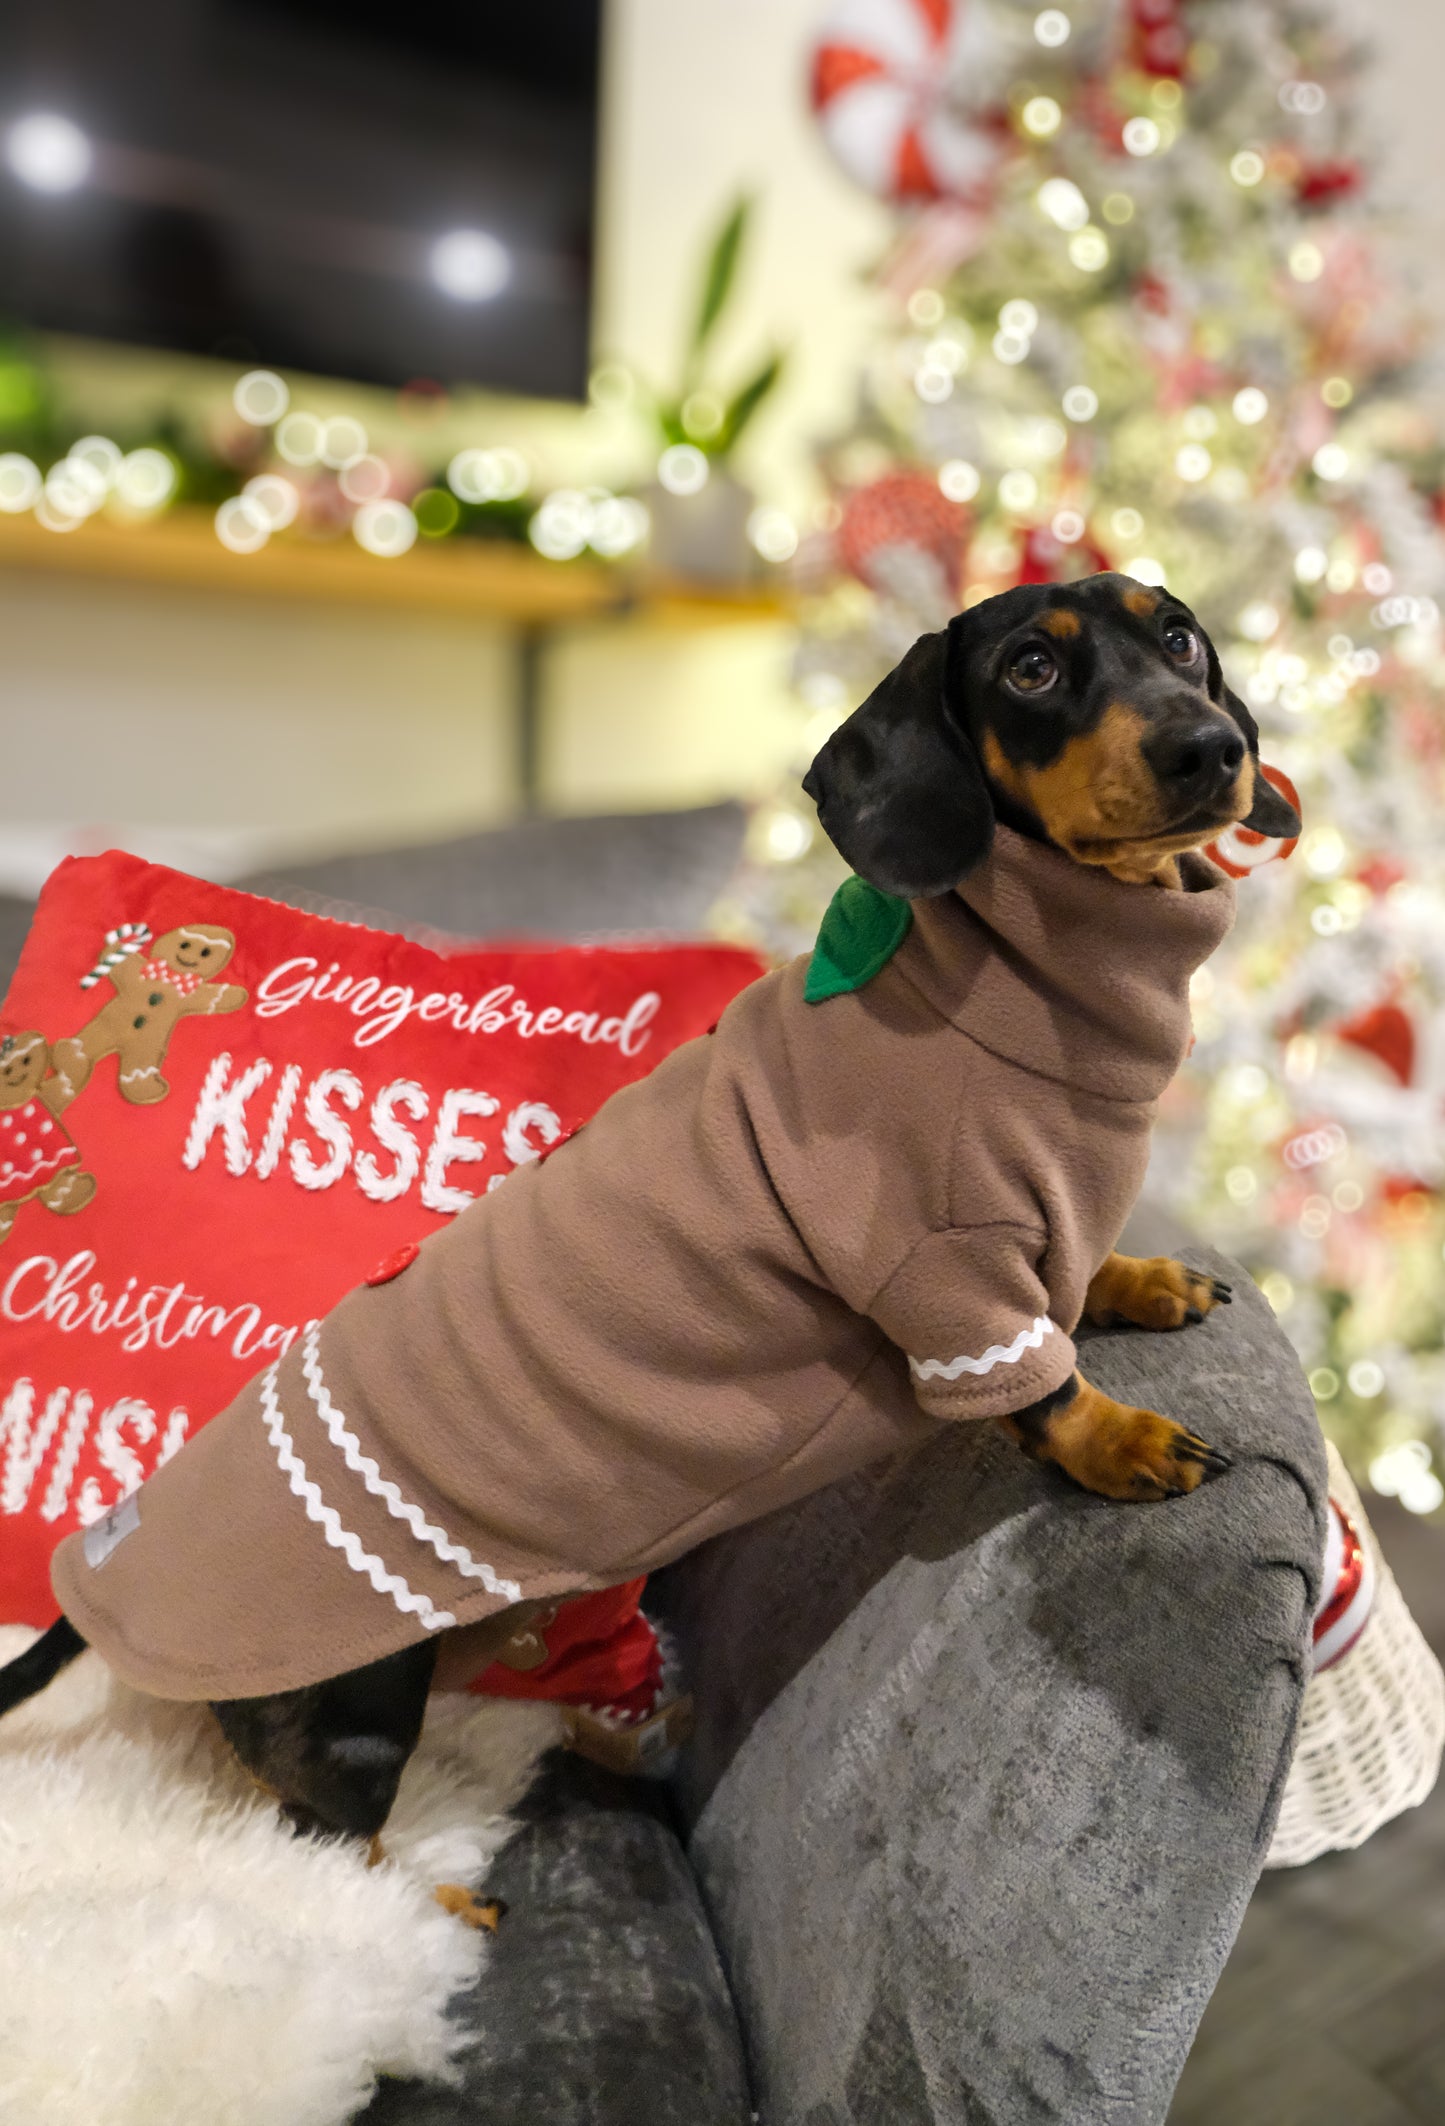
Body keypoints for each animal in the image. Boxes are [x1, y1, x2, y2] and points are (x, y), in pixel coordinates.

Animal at [0, 565, 1300, 1879]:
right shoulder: (945, 1278)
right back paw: (437, 1890)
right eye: (1030, 668)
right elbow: (1046, 1386)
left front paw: (1144, 1279)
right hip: (357, 1708)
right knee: (319, 1837)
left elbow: (1075, 1288)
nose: (1211, 748)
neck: (1015, 984)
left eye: (1177, 637)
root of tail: (105, 1568)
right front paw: (1127, 1438)